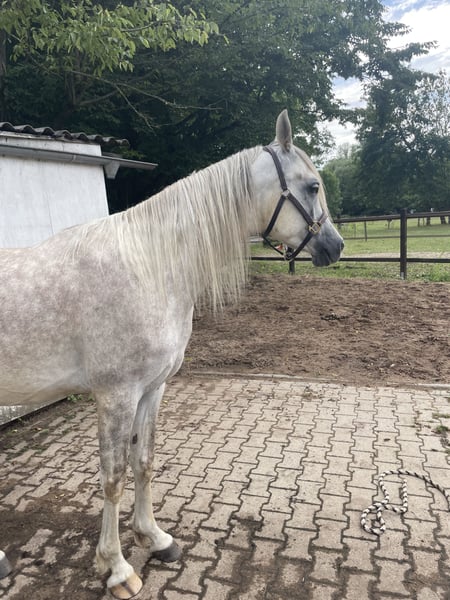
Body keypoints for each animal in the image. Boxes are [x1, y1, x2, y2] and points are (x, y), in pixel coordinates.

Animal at [0, 110, 344, 598]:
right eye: (312, 186)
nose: (336, 246)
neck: (148, 267)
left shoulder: (151, 389)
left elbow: (144, 462)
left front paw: (155, 538)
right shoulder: (116, 396)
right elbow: (113, 477)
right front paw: (117, 567)